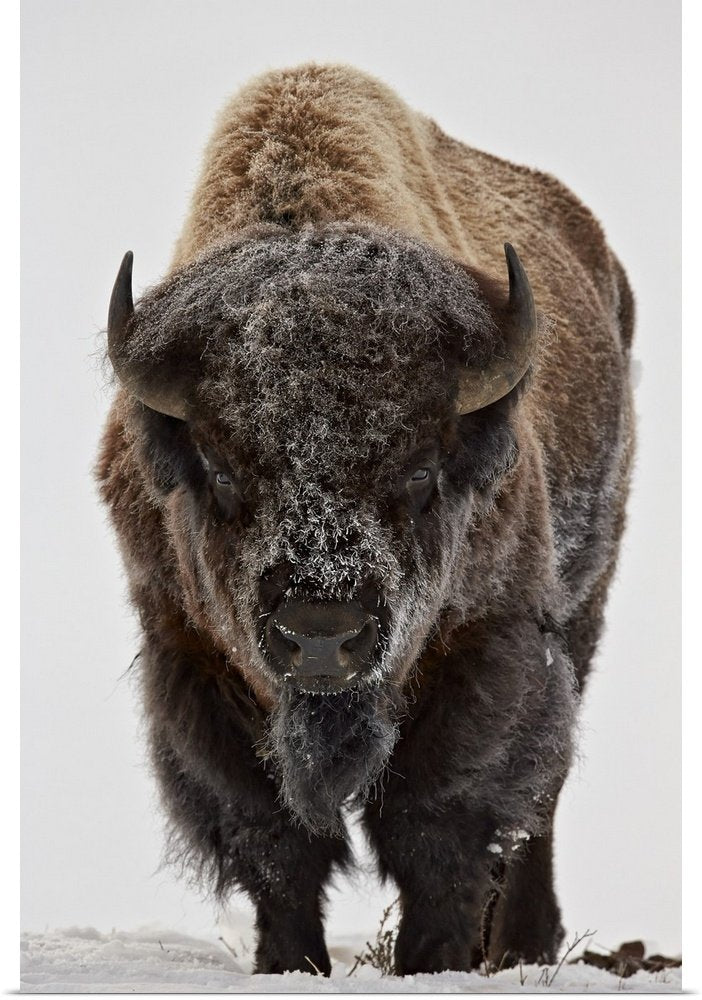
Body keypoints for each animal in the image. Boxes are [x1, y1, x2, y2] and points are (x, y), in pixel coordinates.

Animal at [96, 64, 635, 976]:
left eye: (419, 471)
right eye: (220, 471)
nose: (322, 634)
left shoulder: (488, 643)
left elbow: (441, 820)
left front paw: (433, 960)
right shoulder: (191, 654)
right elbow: (272, 836)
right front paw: (289, 964)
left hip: (583, 608)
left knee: (540, 803)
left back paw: (524, 945)